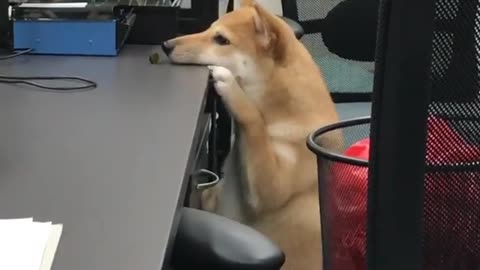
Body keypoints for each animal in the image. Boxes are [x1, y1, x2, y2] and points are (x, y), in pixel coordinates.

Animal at [163, 1, 344, 268]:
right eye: (208, 29)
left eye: (221, 39)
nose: (166, 45)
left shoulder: (274, 187)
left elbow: (254, 121)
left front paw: (230, 86)